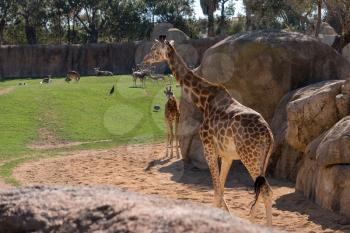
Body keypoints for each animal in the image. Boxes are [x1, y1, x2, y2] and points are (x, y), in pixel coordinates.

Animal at [144, 38, 274, 226]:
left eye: (154, 49)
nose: (145, 60)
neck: (203, 100)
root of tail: (269, 135)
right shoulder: (226, 155)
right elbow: (220, 189)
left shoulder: (209, 148)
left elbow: (217, 190)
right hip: (262, 160)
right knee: (263, 190)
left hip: (250, 157)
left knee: (265, 191)